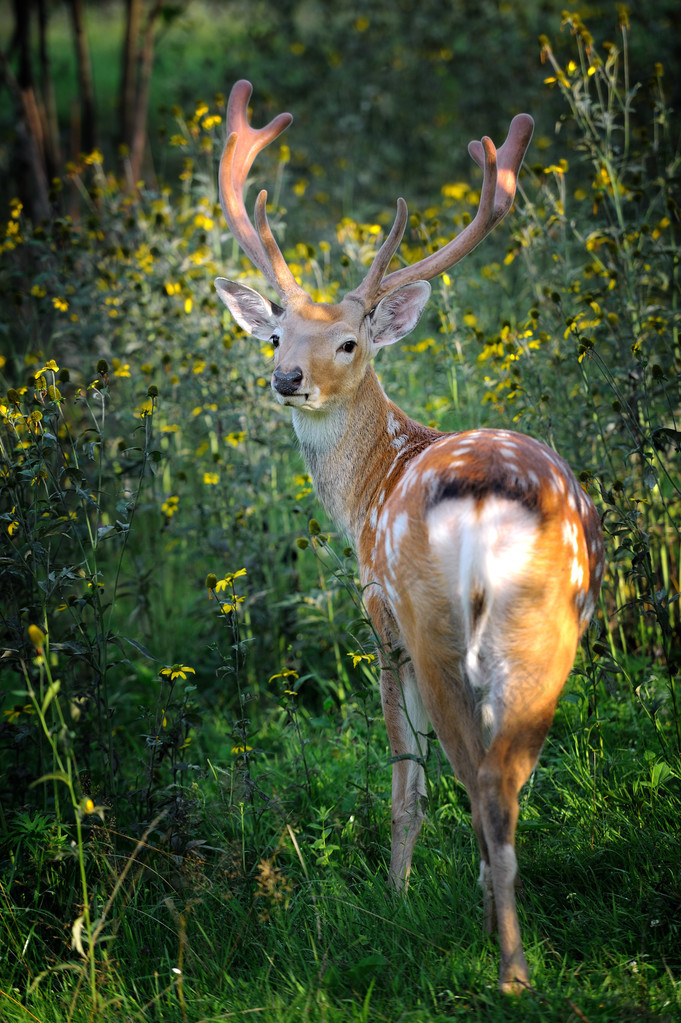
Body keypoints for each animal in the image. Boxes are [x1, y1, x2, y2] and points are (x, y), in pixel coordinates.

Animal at [213, 81, 605, 998]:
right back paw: (507, 936)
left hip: (432, 619)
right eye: (276, 334)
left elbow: (403, 773)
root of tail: (492, 491)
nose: (286, 378)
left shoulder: (376, 614)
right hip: (549, 619)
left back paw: (506, 967)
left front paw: (392, 893)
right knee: (511, 772)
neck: (366, 488)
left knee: (476, 774)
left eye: (348, 341)